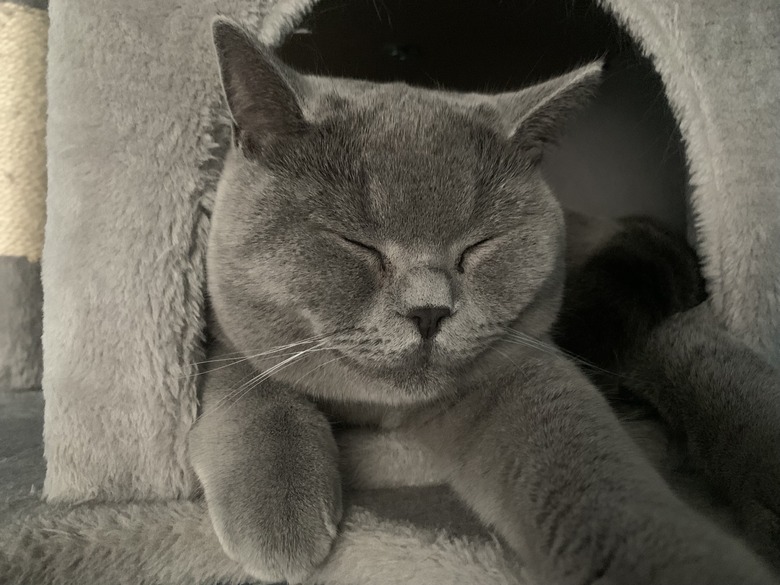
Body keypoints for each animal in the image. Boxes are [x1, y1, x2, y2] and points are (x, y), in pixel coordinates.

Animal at [187, 18, 780, 584]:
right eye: (357, 244)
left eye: (478, 246)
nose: (429, 311)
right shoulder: (219, 321)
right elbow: (250, 374)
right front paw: (277, 508)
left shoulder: (521, 369)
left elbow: (596, 480)